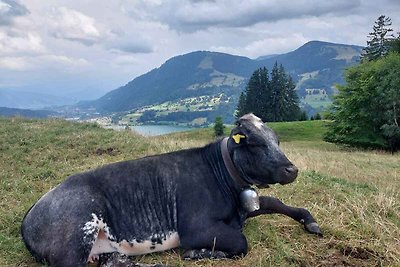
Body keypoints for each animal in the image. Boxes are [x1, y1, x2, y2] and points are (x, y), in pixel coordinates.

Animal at [21, 114, 322, 266]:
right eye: (255, 142)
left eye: (277, 140)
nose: (292, 169)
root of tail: (31, 211)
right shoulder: (195, 228)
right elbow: (241, 243)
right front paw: (198, 253)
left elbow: (277, 202)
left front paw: (310, 222)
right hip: (75, 239)